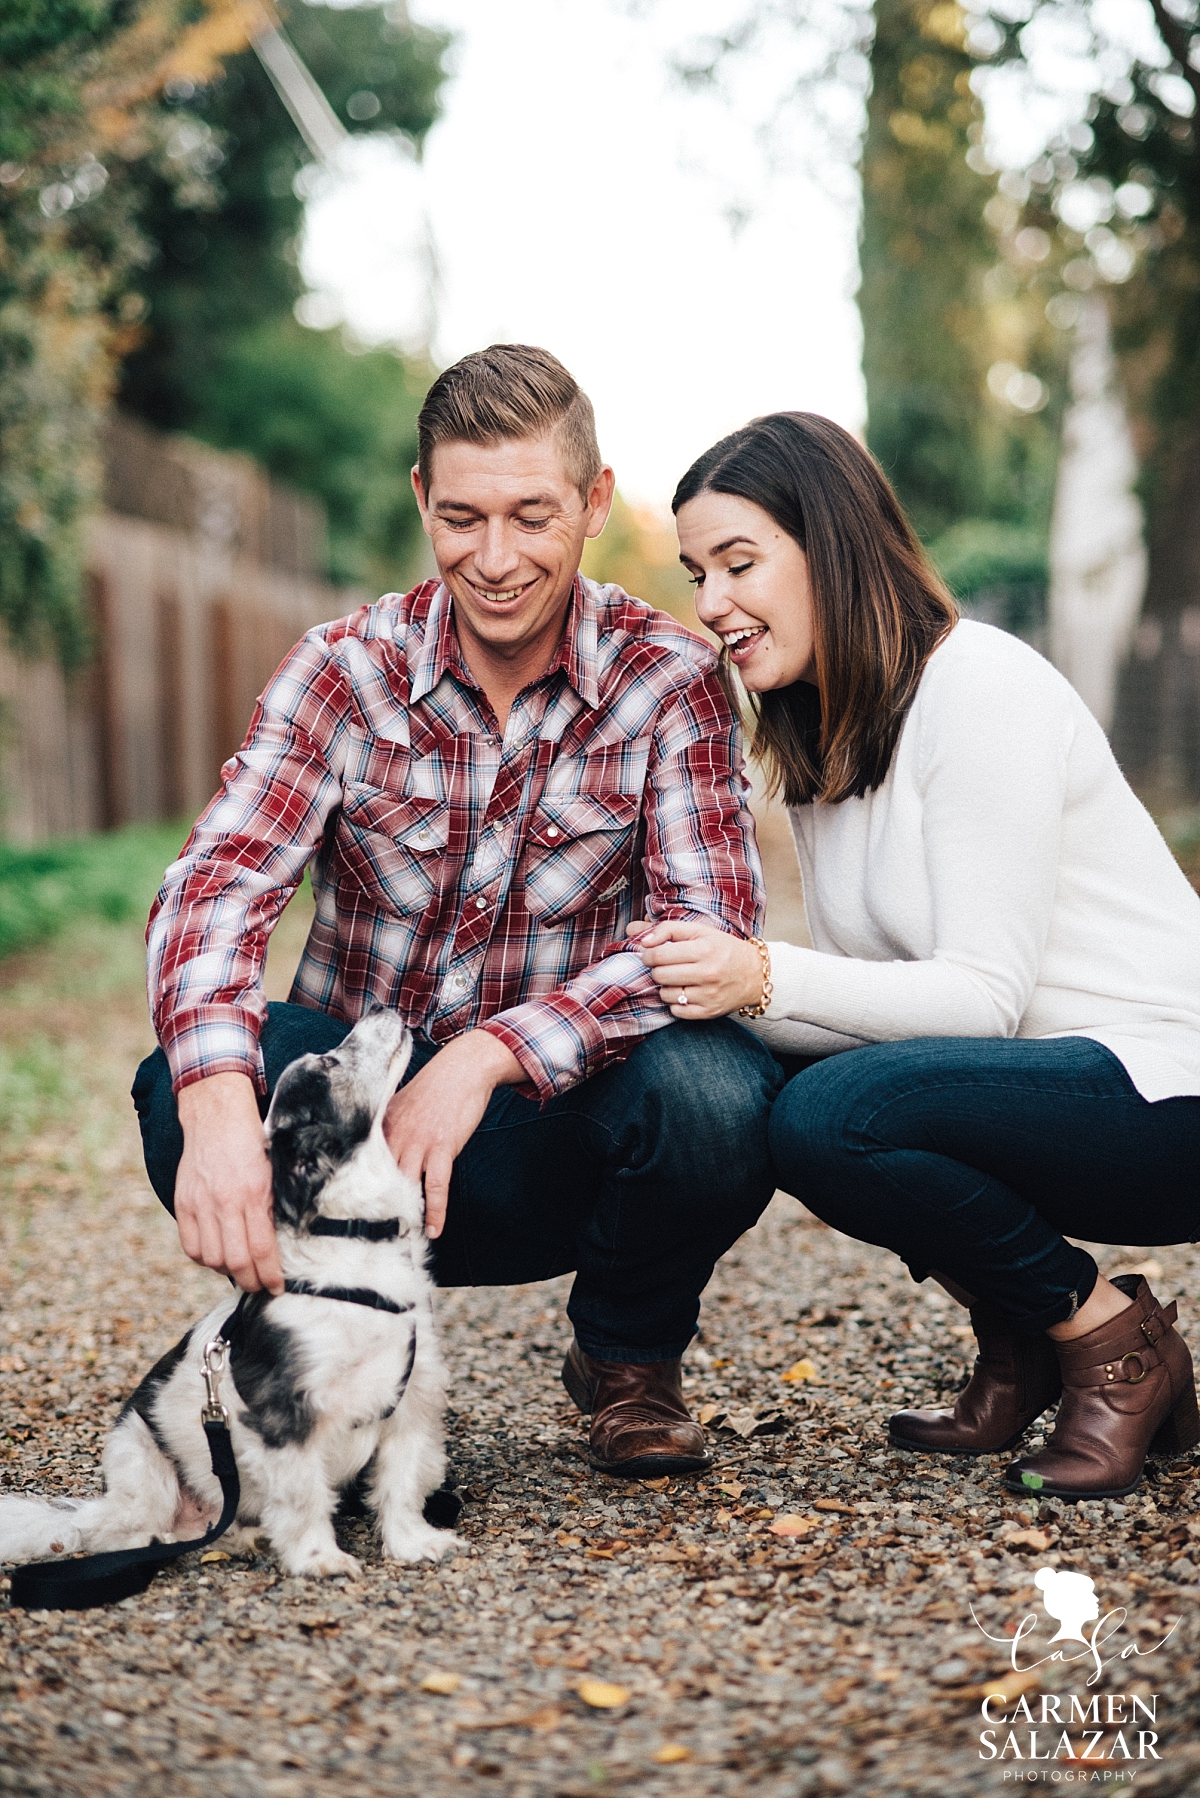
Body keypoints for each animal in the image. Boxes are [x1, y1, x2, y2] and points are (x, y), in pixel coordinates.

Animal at [0, 1014, 456, 1575]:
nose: (381, 1011)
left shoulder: (411, 1404)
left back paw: (248, 1539)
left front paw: (413, 1542)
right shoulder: (285, 1416)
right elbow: (304, 1496)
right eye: (329, 1063)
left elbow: (401, 1483)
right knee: (118, 1531)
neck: (355, 1243)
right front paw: (319, 1558)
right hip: (142, 1462)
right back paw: (154, 1539)